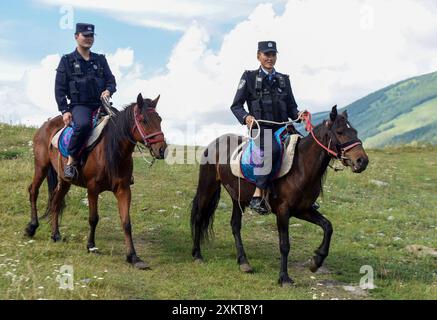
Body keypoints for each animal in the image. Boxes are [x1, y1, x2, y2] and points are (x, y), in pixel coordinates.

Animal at [25, 94, 166, 268]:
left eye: (159, 120)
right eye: (144, 120)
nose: (162, 149)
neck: (112, 150)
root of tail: (45, 125)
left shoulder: (123, 189)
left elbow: (126, 223)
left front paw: (133, 257)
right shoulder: (92, 188)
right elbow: (93, 218)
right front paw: (91, 245)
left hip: (64, 181)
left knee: (55, 202)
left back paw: (56, 235)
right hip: (41, 167)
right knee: (33, 191)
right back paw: (32, 227)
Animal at [191, 106, 368, 286]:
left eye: (354, 131)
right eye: (340, 132)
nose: (362, 161)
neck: (301, 166)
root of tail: (214, 143)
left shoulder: (303, 210)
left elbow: (328, 226)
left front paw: (316, 261)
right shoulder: (283, 211)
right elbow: (284, 245)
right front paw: (284, 277)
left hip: (237, 197)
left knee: (235, 225)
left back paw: (243, 262)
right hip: (208, 187)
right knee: (198, 217)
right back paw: (197, 255)